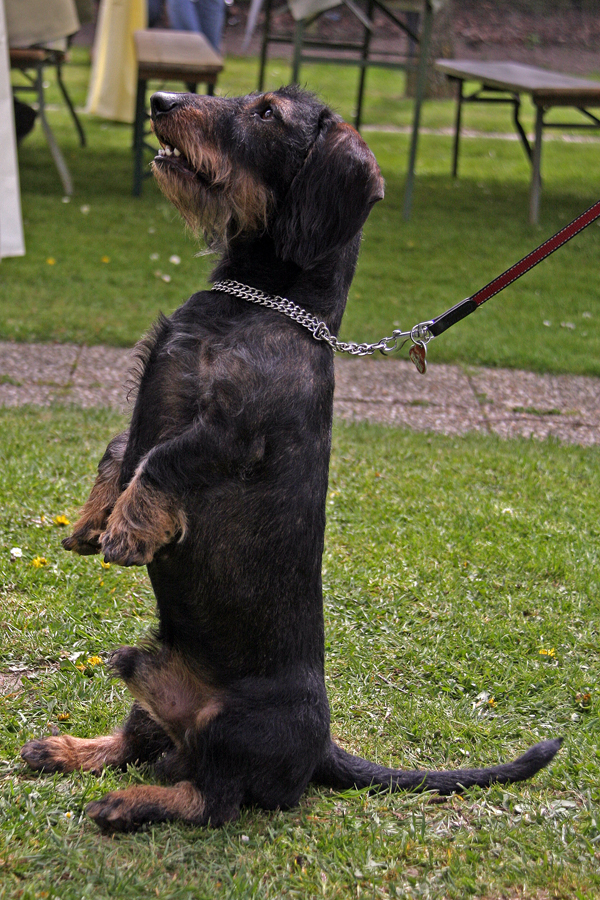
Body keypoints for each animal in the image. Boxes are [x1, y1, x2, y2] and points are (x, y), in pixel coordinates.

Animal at [19, 86, 564, 828]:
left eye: (267, 113)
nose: (160, 99)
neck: (267, 303)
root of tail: (323, 743)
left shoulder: (229, 429)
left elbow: (162, 457)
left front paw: (129, 529)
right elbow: (120, 448)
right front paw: (92, 521)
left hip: (233, 728)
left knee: (209, 797)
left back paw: (128, 803)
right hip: (147, 681)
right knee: (138, 743)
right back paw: (66, 749)